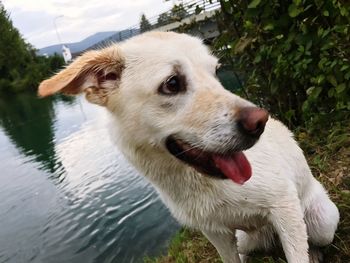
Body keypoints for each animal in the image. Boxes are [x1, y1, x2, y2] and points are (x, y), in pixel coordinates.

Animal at [38, 32, 340, 262]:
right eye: (172, 83)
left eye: (216, 72)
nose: (260, 122)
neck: (198, 181)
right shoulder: (216, 232)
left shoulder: (284, 207)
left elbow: (297, 255)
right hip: (244, 238)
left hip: (321, 222)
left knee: (311, 241)